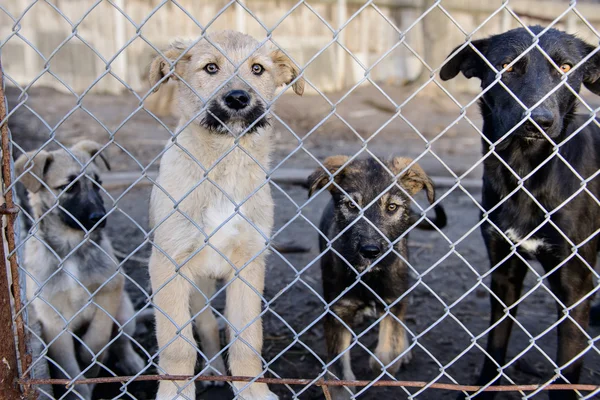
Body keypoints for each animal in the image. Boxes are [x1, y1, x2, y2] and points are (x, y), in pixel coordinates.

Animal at [146, 31, 304, 400]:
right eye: (210, 67)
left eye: (257, 69)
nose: (237, 98)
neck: (223, 164)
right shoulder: (168, 265)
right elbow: (177, 346)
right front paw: (176, 392)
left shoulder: (249, 264)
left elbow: (248, 340)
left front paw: (253, 390)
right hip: (197, 284)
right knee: (203, 325)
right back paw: (215, 370)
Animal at [310, 155, 446, 398]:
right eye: (351, 206)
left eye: (392, 207)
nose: (370, 251)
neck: (368, 276)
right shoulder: (337, 310)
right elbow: (339, 369)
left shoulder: (394, 298)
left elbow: (388, 346)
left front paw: (388, 360)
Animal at [440, 26, 600, 398]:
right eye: (507, 66)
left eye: (567, 68)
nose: (539, 120)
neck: (525, 170)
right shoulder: (504, 271)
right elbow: (495, 346)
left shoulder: (574, 285)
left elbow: (567, 371)